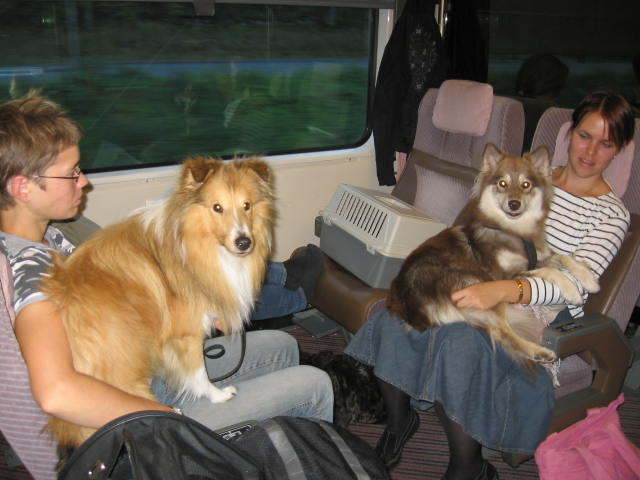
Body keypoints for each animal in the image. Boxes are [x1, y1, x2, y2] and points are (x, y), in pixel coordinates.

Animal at [42, 156, 274, 451]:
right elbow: (198, 372)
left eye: (247, 205)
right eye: (217, 207)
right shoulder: (186, 335)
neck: (189, 241)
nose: (244, 243)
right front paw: (218, 395)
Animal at [386, 143, 599, 366]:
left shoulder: (538, 256)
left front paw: (588, 278)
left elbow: (564, 257)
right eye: (502, 183)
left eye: (525, 185)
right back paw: (539, 352)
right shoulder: (504, 274)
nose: (514, 204)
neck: (513, 230)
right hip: (482, 284)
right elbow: (549, 270)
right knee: (500, 332)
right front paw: (572, 291)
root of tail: (412, 308)